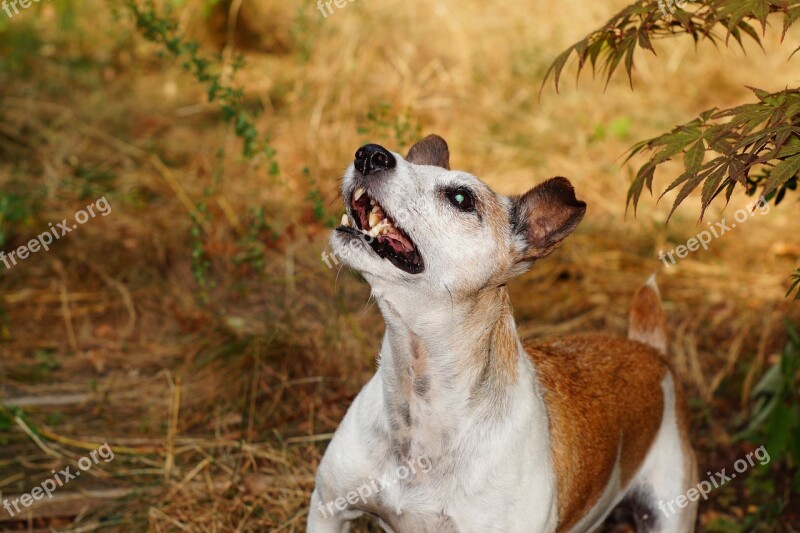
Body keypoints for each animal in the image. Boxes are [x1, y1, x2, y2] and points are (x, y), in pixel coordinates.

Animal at [310, 136, 696, 532]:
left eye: (461, 198)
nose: (369, 154)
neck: (421, 397)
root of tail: (648, 349)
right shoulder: (327, 509)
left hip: (667, 512)